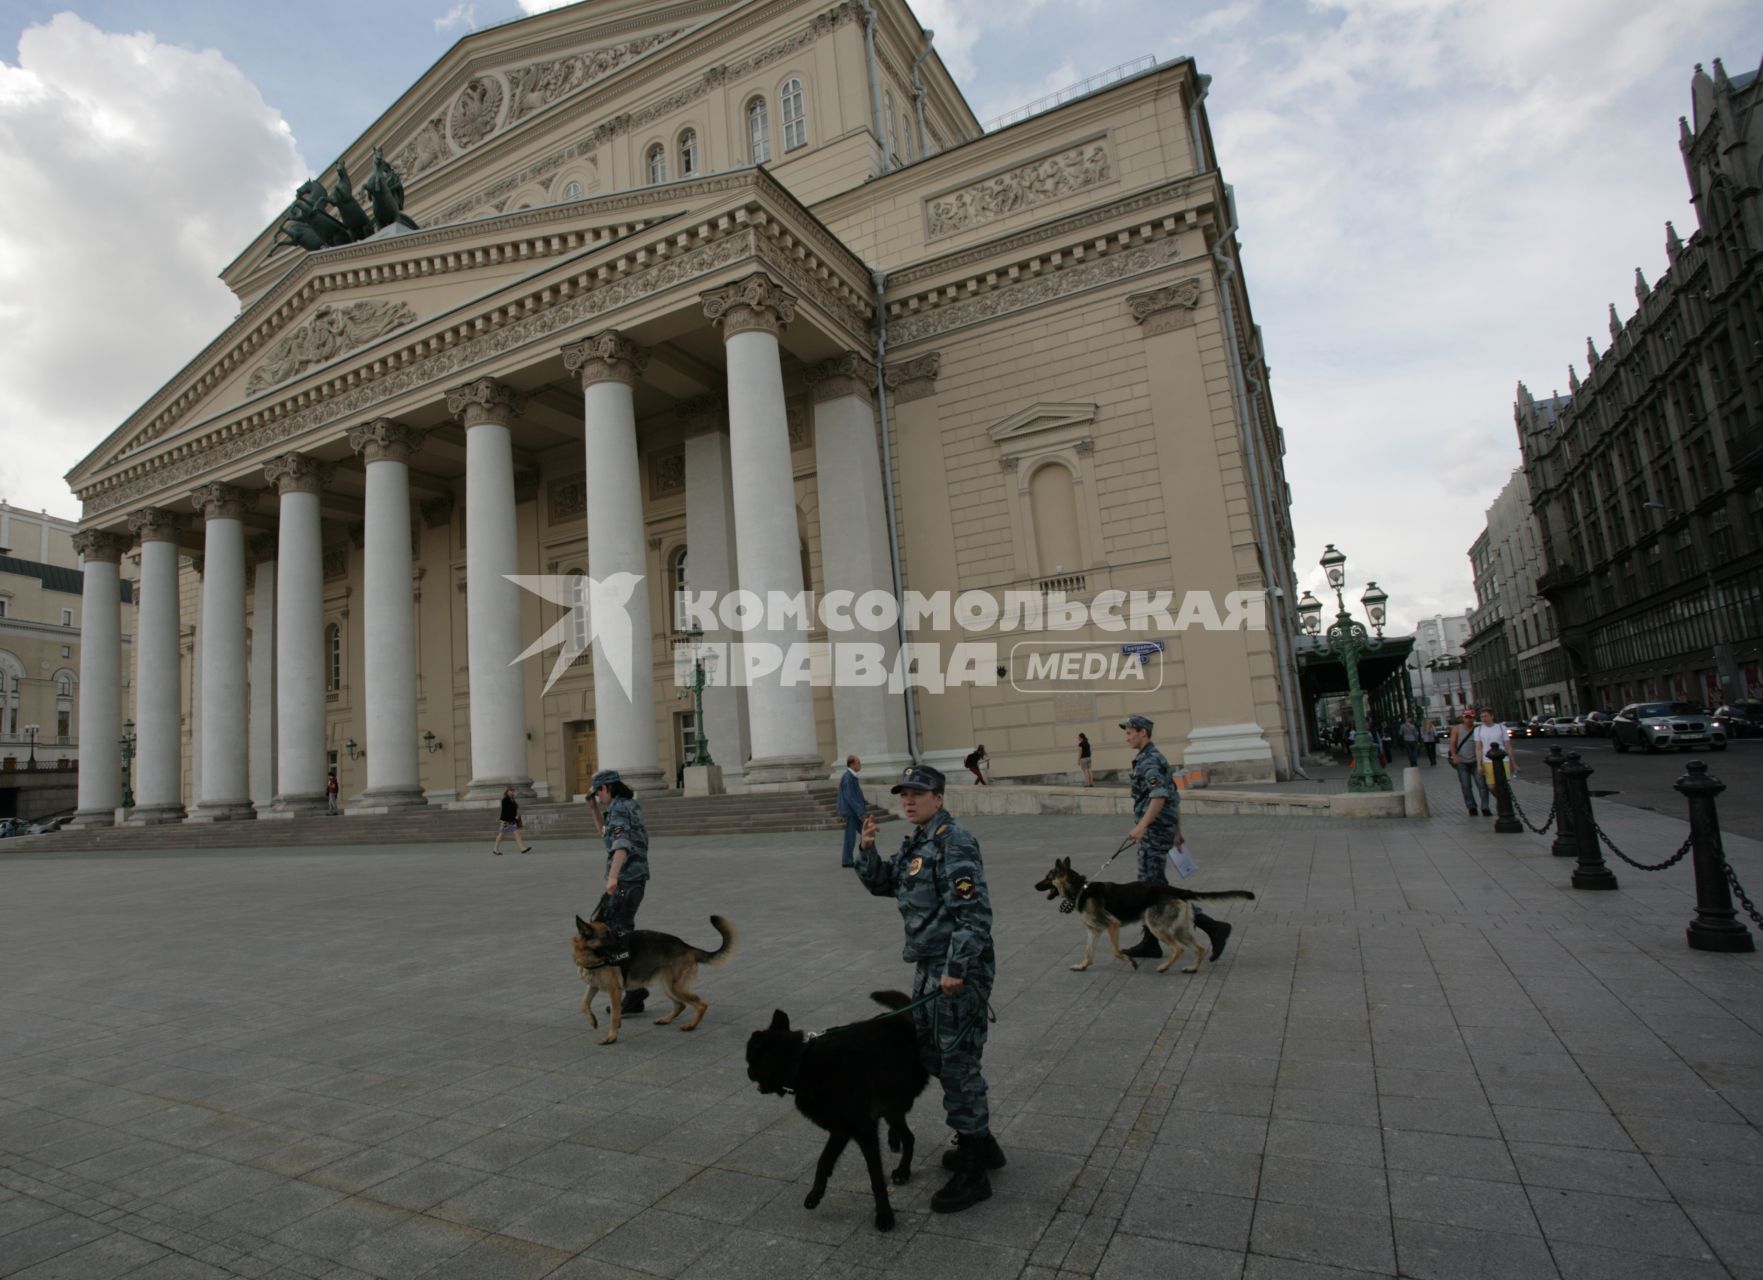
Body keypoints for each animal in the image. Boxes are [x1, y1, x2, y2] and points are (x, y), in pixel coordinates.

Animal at [571, 916, 736, 1050]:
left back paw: (691, 1026)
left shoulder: (614, 991)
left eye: (613, 934)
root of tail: (688, 947)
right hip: (668, 987)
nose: (624, 947)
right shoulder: (593, 986)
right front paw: (592, 1021)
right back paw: (666, 1020)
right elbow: (583, 1004)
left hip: (675, 987)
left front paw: (611, 1037)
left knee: (701, 1004)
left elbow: (614, 1015)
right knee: (681, 1005)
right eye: (606, 936)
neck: (591, 956)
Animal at [743, 994, 930, 1234]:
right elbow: (824, 1160)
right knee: (907, 1135)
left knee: (911, 1134)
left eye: (749, 1059)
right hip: (891, 1107)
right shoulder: (841, 1129)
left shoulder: (863, 1130)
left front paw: (884, 1215)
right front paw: (816, 1194)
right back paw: (901, 1161)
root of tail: (908, 1016)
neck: (802, 1063)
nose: (747, 1072)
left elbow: (875, 1177)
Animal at [1029, 863, 1255, 973]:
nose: (1034, 886)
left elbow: (1115, 951)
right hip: (1180, 929)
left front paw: (1131, 962)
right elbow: (1088, 952)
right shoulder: (1093, 931)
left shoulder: (1112, 926)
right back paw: (1192, 968)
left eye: (1048, 878)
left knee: (1179, 949)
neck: (1080, 889)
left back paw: (1164, 967)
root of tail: (1174, 889)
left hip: (1157, 926)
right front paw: (1082, 966)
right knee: (1199, 948)